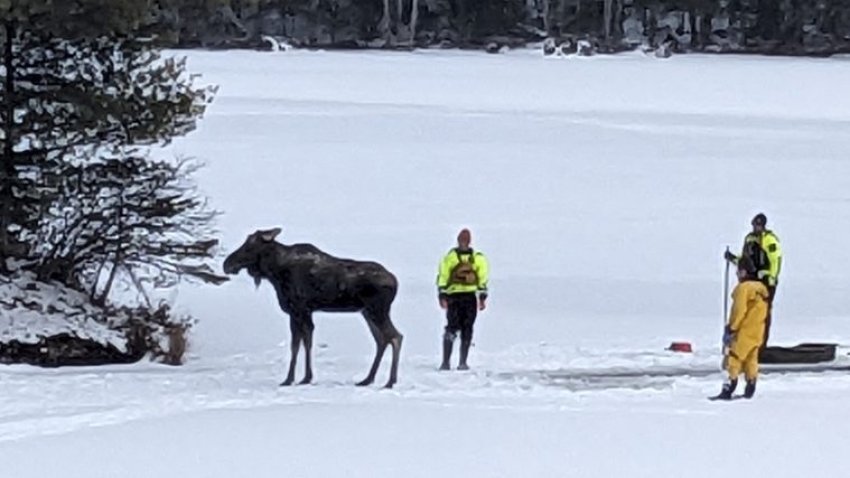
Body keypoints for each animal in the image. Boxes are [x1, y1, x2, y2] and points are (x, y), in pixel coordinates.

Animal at [222, 228, 400, 388]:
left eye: (249, 246)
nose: (226, 264)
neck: (275, 272)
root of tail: (395, 282)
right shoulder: (305, 312)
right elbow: (306, 341)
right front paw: (306, 377)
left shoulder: (297, 310)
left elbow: (295, 345)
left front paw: (290, 379)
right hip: (367, 312)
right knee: (382, 340)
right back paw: (368, 379)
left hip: (377, 310)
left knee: (395, 337)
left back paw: (389, 382)